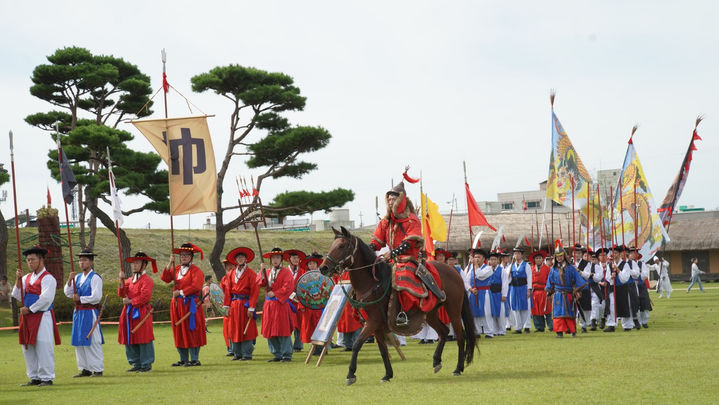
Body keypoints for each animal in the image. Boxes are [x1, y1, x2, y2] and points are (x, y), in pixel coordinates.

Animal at [320, 226, 478, 384]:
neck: (372, 283)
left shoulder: (372, 322)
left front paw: (351, 374)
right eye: (333, 245)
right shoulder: (376, 326)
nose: (323, 268)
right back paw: (436, 361)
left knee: (460, 336)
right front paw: (387, 374)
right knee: (443, 331)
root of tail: (454, 271)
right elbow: (383, 350)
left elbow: (357, 344)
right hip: (430, 313)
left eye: (341, 246)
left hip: (453, 309)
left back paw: (458, 368)